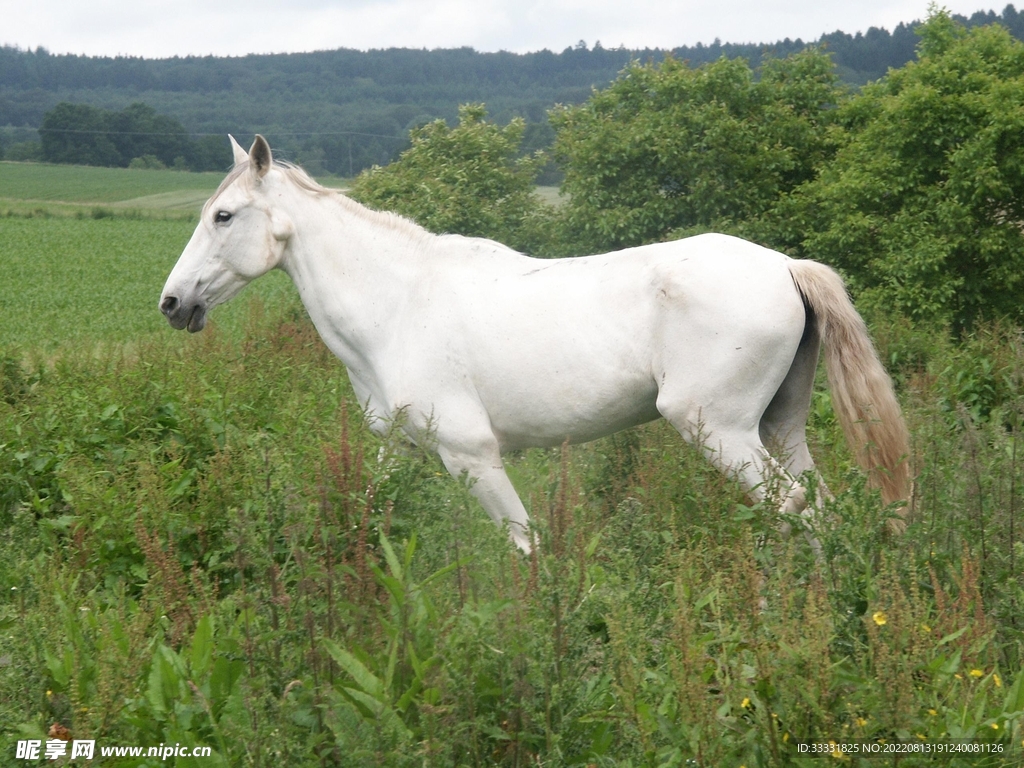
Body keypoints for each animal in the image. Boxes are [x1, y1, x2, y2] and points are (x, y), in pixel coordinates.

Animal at [160, 135, 910, 553]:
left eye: (223, 215)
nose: (172, 303)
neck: (397, 306)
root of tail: (786, 266)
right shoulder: (399, 449)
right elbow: (369, 518)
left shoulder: (474, 457)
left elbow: (524, 547)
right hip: (779, 427)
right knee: (822, 508)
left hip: (719, 431)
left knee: (796, 511)